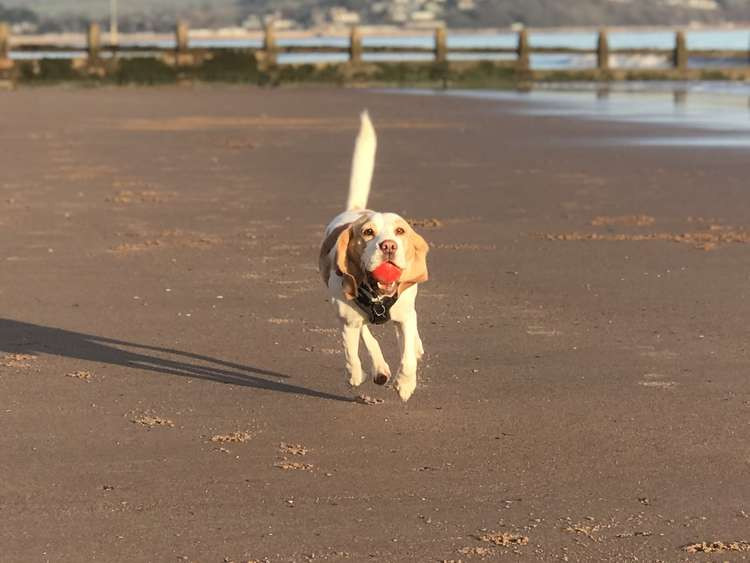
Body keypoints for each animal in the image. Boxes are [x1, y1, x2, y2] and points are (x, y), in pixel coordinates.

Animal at [320, 111, 432, 400]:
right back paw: (378, 369)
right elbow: (353, 351)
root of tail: (356, 209)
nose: (389, 246)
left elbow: (407, 356)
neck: (378, 296)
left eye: (400, 231)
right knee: (367, 337)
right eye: (368, 232)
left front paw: (405, 384)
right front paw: (355, 375)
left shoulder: (404, 317)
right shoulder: (347, 320)